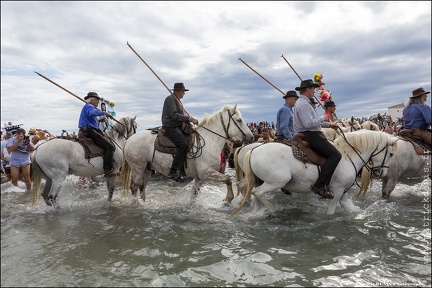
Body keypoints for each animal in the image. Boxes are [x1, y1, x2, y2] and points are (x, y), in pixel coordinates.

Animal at [120, 105, 253, 202]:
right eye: (239, 120)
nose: (251, 137)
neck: (209, 139)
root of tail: (128, 140)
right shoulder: (206, 173)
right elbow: (228, 179)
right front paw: (229, 198)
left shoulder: (199, 178)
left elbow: (194, 194)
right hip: (138, 168)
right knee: (134, 187)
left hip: (147, 169)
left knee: (142, 187)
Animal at [233, 129, 398, 215]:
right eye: (391, 154)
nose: (380, 174)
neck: (347, 156)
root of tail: (253, 150)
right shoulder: (337, 191)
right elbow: (331, 211)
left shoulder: (343, 194)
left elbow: (352, 209)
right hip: (277, 181)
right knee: (257, 192)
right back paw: (273, 210)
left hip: (258, 180)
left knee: (253, 194)